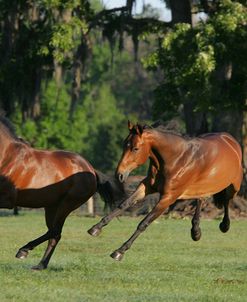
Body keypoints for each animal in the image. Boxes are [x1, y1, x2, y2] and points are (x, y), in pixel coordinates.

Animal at [0, 114, 124, 270]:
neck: (6, 156)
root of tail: (91, 169)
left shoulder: (6, 199)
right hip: (51, 207)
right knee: (54, 234)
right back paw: (41, 264)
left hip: (67, 204)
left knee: (55, 231)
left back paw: (24, 251)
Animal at [88, 121, 242, 260]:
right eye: (124, 145)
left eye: (135, 148)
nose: (119, 174)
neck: (176, 159)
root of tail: (230, 140)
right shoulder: (147, 186)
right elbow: (124, 205)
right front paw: (95, 228)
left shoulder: (168, 197)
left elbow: (144, 223)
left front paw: (120, 251)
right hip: (202, 187)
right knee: (201, 199)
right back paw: (196, 232)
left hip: (233, 186)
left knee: (227, 201)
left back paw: (224, 226)